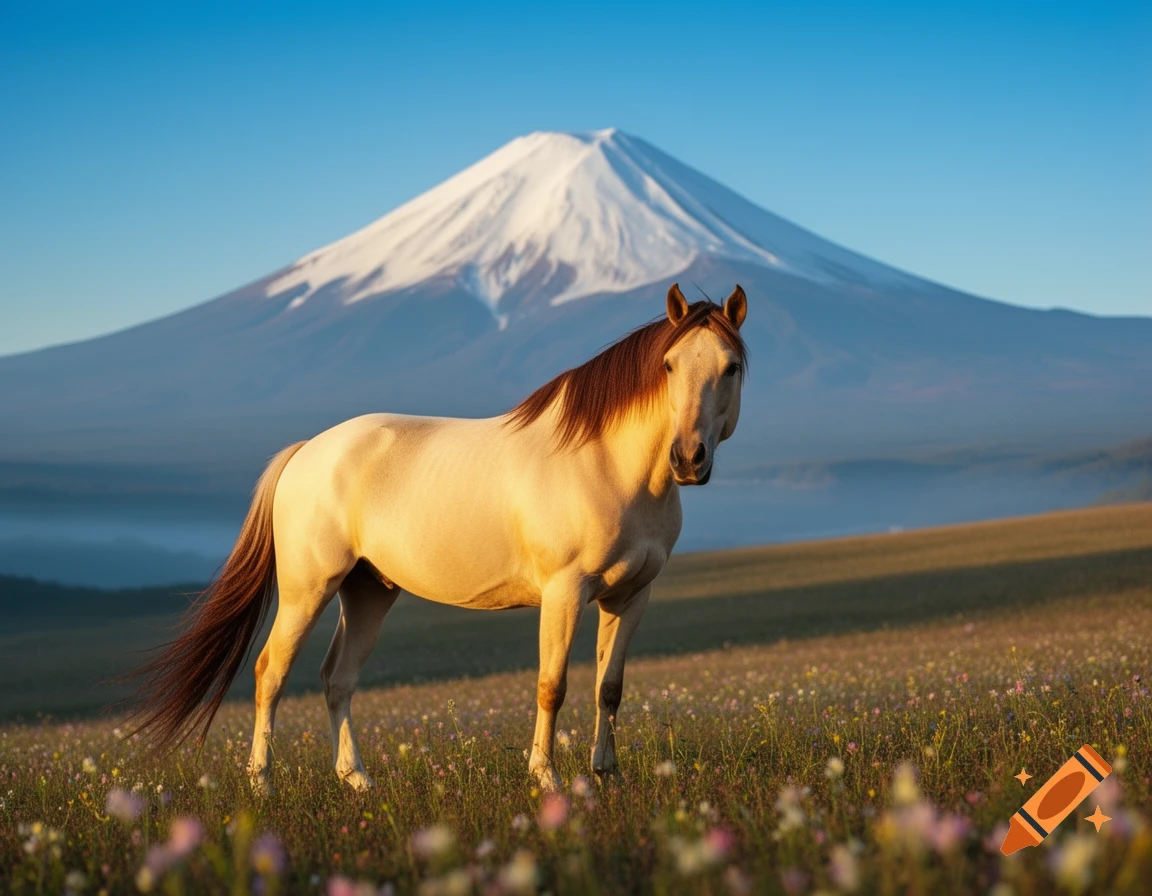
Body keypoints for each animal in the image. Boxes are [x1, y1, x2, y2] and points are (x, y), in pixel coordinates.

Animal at [128, 282, 748, 793]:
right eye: (668, 365)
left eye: (732, 367)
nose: (688, 458)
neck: (610, 465)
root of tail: (306, 451)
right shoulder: (565, 592)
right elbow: (552, 685)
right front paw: (547, 779)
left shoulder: (630, 596)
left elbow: (609, 687)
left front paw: (608, 776)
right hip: (308, 589)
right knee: (270, 675)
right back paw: (264, 786)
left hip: (368, 591)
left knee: (337, 678)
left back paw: (358, 780)